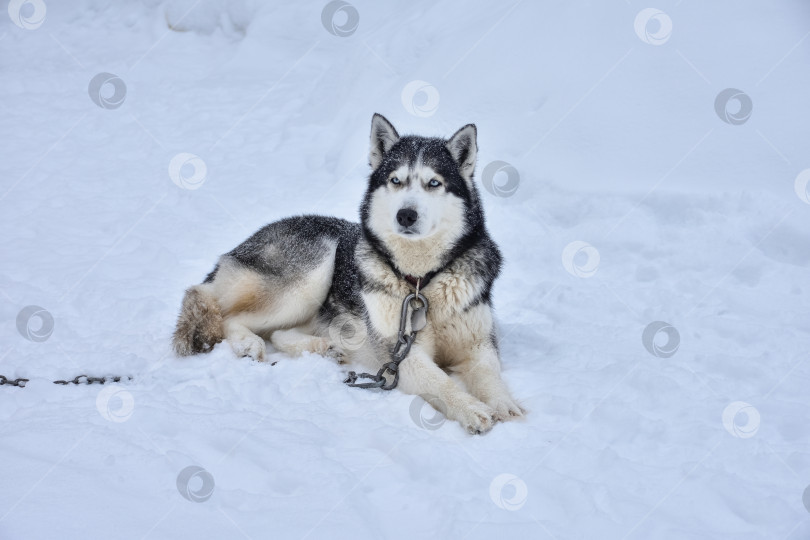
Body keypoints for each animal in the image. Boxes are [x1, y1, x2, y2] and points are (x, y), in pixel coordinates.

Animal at [172, 114, 524, 434]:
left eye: (433, 183)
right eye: (396, 180)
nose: (406, 215)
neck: (420, 281)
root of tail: (237, 249)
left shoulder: (478, 345)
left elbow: (490, 376)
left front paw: (505, 405)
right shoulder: (400, 354)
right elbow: (439, 381)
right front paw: (471, 409)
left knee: (279, 333)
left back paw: (323, 347)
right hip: (312, 272)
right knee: (231, 317)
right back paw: (249, 344)